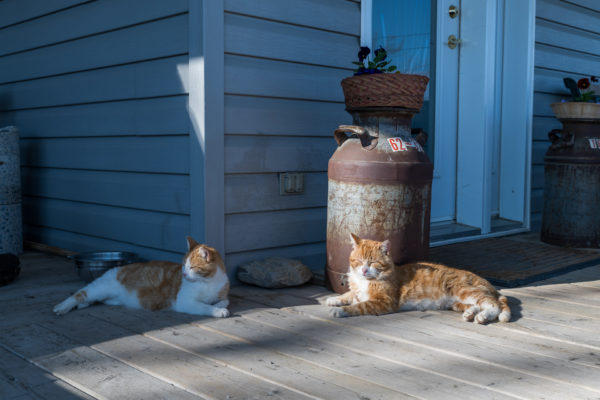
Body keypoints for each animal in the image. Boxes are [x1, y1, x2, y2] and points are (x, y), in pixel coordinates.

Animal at [54, 238, 230, 318]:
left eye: (191, 267)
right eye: (183, 266)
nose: (185, 274)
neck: (208, 282)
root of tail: (118, 268)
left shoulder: (221, 292)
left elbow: (225, 300)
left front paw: (220, 304)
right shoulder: (185, 302)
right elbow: (204, 306)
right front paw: (218, 310)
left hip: (108, 297)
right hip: (100, 288)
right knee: (79, 294)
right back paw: (62, 307)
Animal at [326, 233, 508, 324]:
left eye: (373, 262)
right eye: (358, 261)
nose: (364, 270)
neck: (365, 281)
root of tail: (487, 283)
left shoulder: (383, 302)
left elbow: (358, 306)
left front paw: (340, 310)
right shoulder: (358, 292)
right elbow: (350, 295)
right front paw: (334, 299)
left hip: (464, 290)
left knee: (494, 305)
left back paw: (483, 316)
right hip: (457, 302)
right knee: (478, 305)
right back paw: (471, 314)